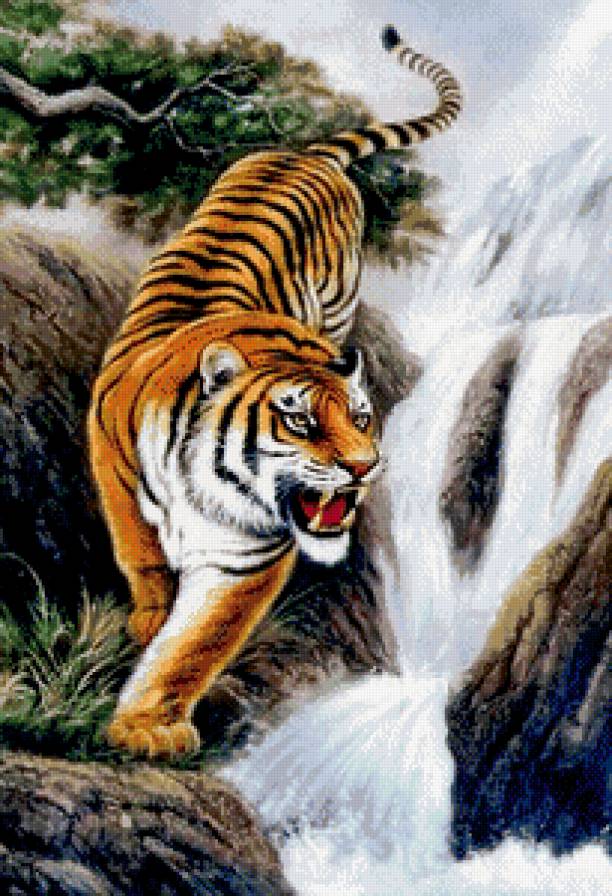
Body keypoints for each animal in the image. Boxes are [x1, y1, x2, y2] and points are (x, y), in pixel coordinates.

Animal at [88, 25, 462, 757]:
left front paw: (149, 725)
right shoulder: (111, 466)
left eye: (363, 419)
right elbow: (141, 557)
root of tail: (303, 150)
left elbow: (197, 643)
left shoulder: (248, 558)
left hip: (340, 300)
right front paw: (149, 621)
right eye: (301, 423)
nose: (364, 469)